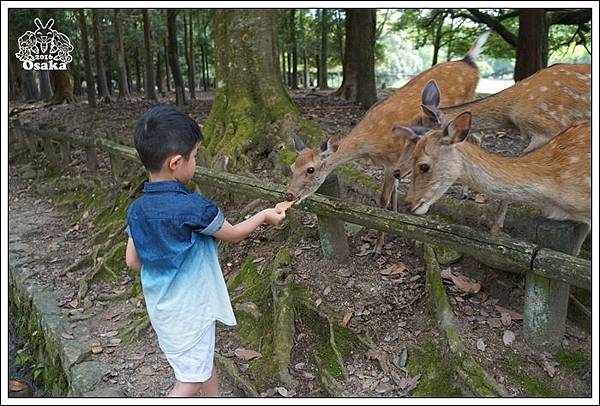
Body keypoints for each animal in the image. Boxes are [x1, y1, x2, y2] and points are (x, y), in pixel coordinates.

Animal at [288, 31, 490, 254]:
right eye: (292, 167)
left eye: (311, 169)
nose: (289, 194)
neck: (370, 144)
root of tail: (469, 61)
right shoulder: (393, 164)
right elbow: (395, 191)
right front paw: (397, 224)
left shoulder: (393, 160)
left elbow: (382, 199)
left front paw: (378, 246)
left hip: (468, 105)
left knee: (476, 136)